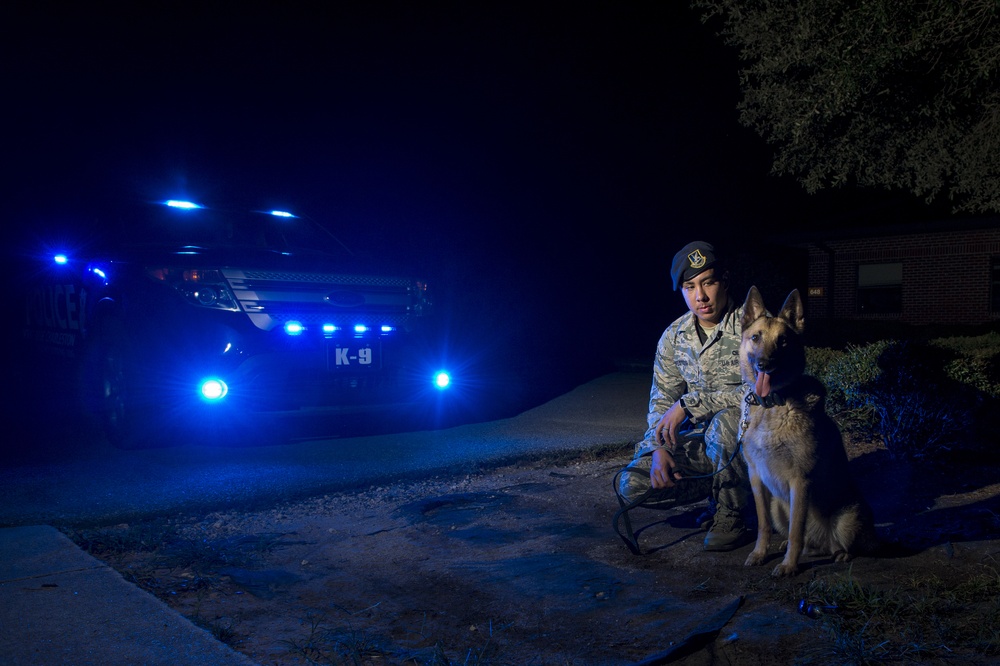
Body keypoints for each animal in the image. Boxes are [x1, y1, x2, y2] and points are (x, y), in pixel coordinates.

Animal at [740, 286, 872, 576]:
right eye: (755, 337)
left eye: (783, 341)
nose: (764, 364)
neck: (773, 405)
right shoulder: (756, 479)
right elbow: (763, 525)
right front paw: (760, 553)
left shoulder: (800, 480)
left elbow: (795, 531)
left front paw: (789, 566)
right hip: (778, 507)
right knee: (811, 542)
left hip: (848, 517)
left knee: (843, 544)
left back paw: (841, 554)